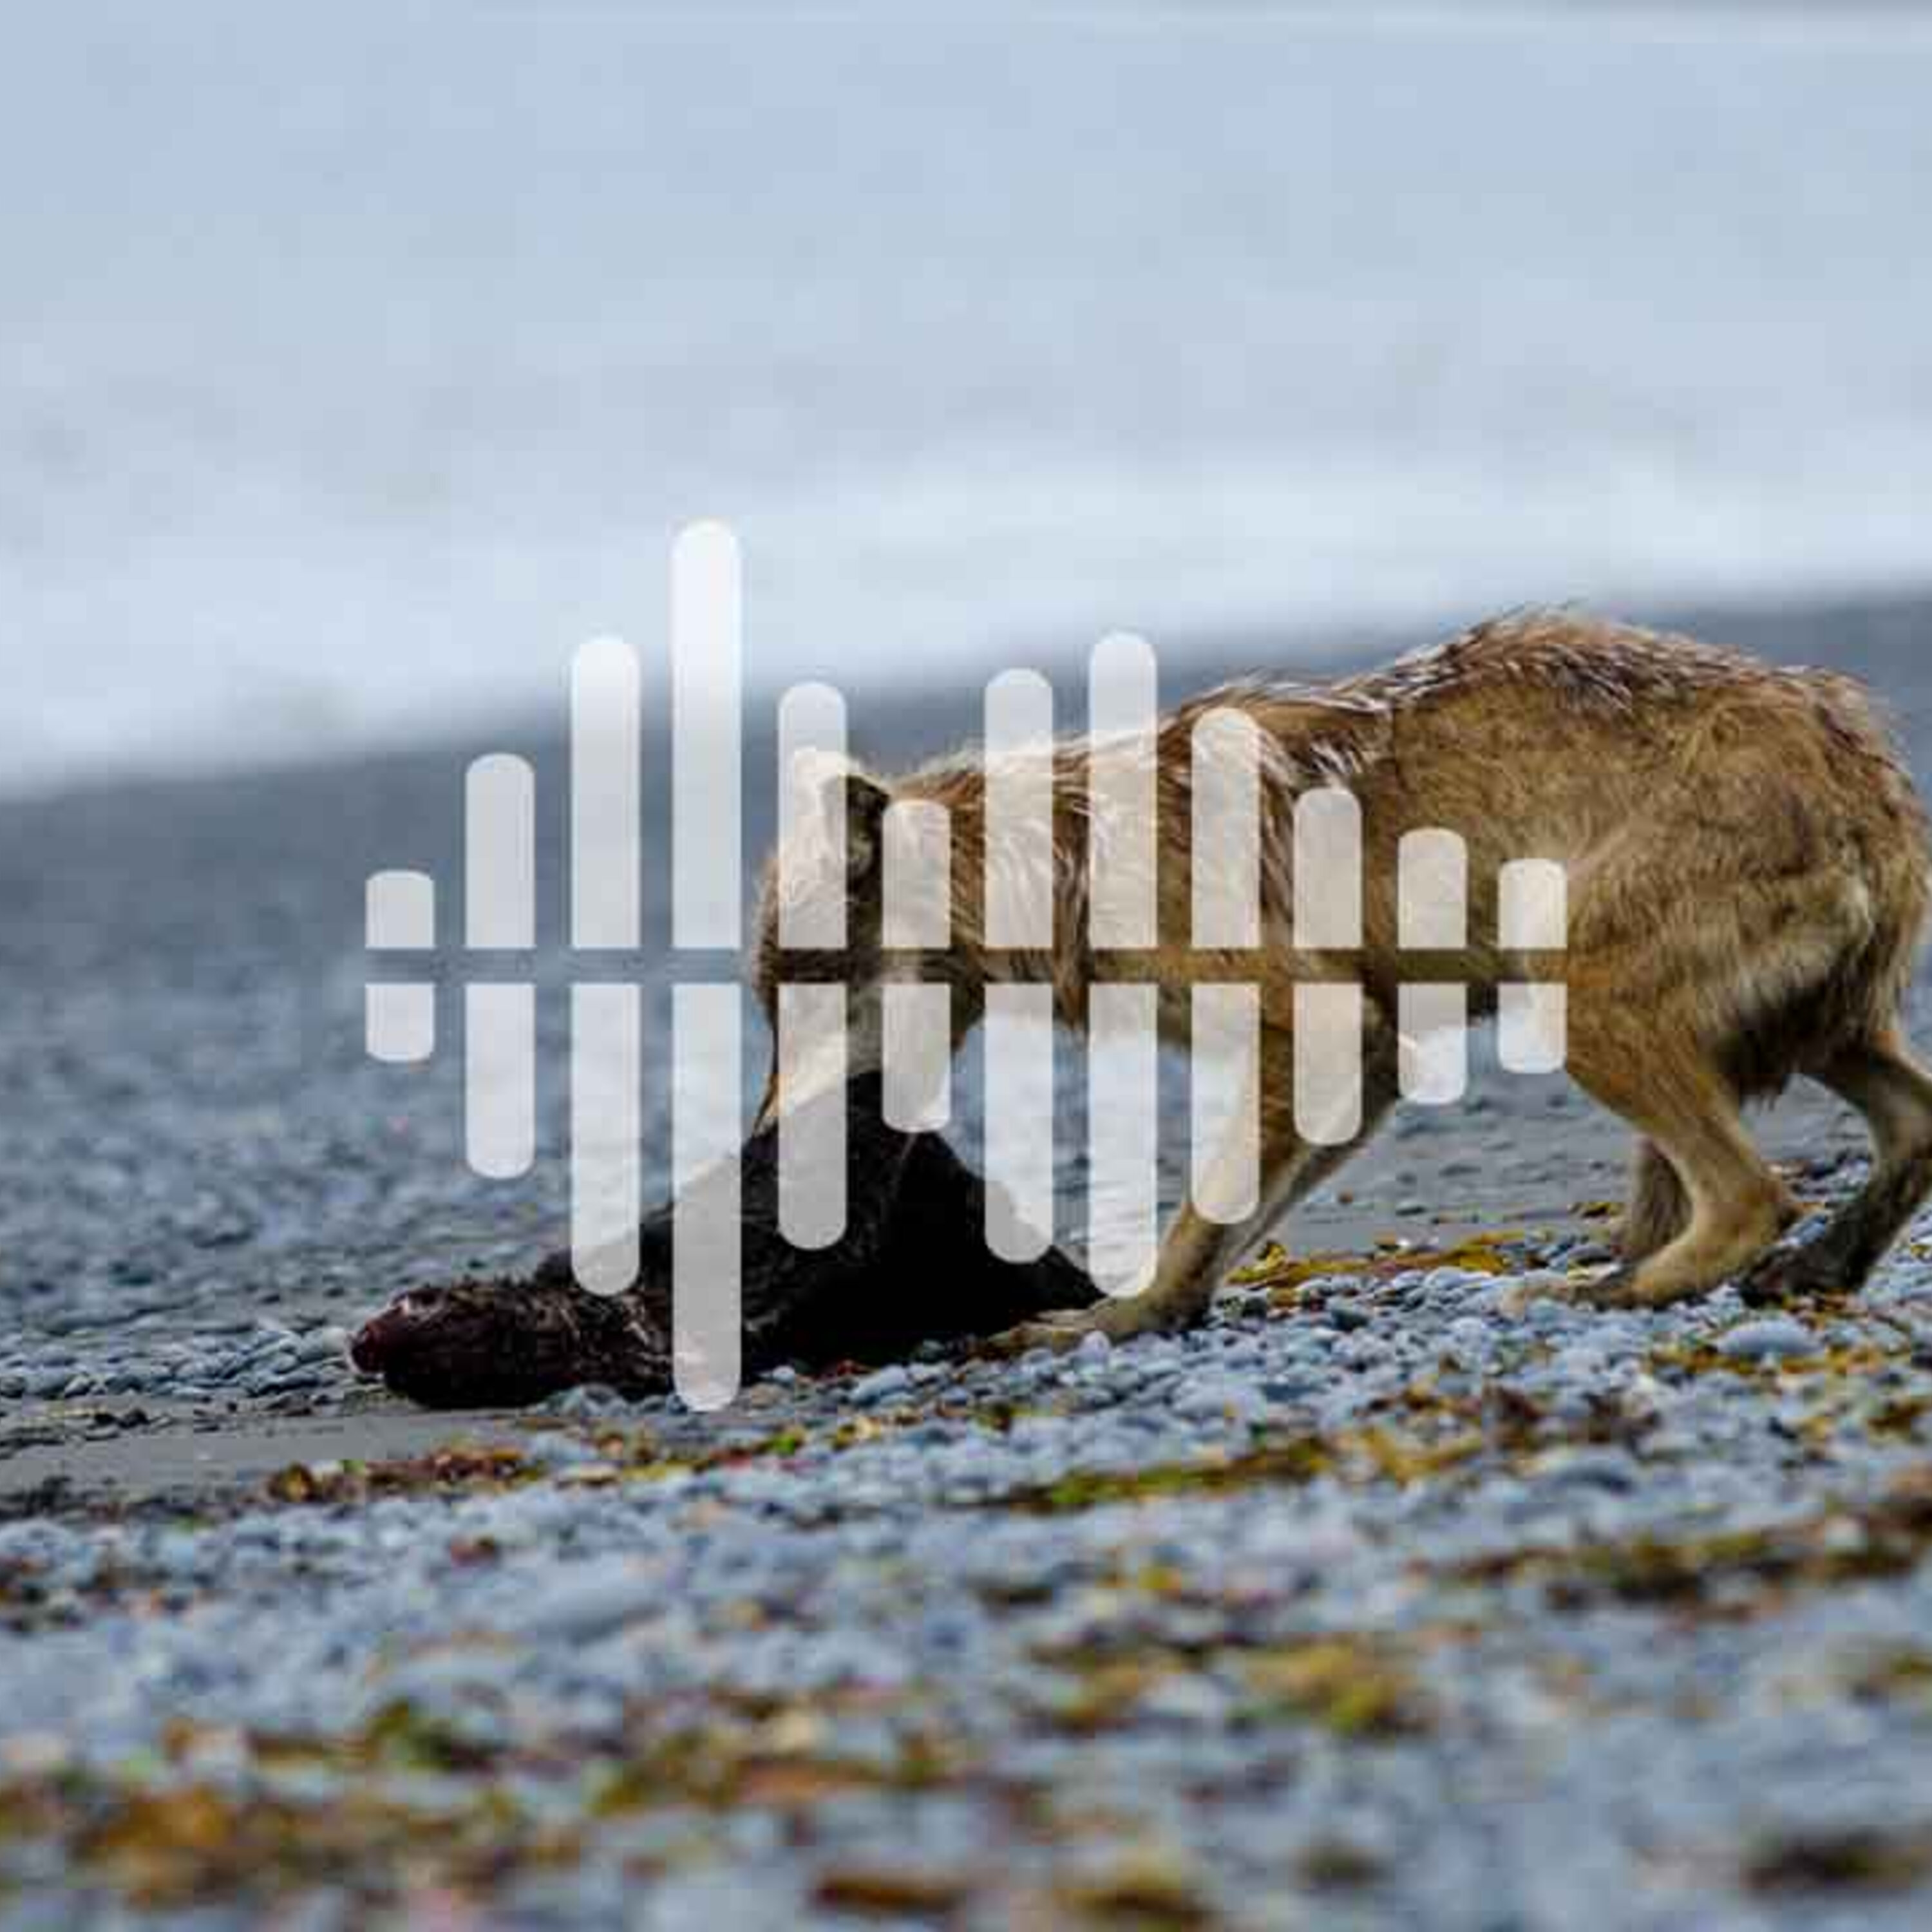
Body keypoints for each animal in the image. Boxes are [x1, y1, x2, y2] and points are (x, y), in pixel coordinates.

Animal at [749, 612, 1932, 1352]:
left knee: (1752, 1195)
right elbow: (1226, 1231)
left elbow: (1200, 1213)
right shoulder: (1367, 1060)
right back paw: (1808, 1269)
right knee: (1901, 1134)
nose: (762, 1135)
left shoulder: (1317, 1031)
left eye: (800, 990)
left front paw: (1111, 1322)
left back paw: (1601, 1290)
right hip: (1819, 1035)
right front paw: (1150, 1319)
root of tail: (1865, 770)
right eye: (767, 1007)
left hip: (1577, 1002)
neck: (1069, 860)